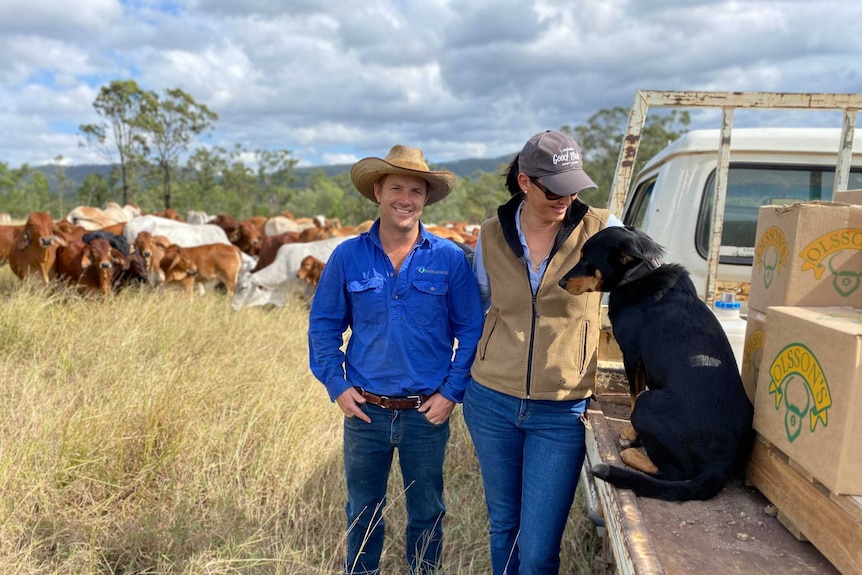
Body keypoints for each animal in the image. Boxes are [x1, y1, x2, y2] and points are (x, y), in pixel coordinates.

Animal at [560, 227, 756, 502]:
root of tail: (721, 462)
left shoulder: (632, 355)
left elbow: (633, 395)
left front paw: (631, 435)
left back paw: (630, 454)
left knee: (674, 473)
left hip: (649, 404)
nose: (560, 283)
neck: (639, 274)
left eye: (586, 261)